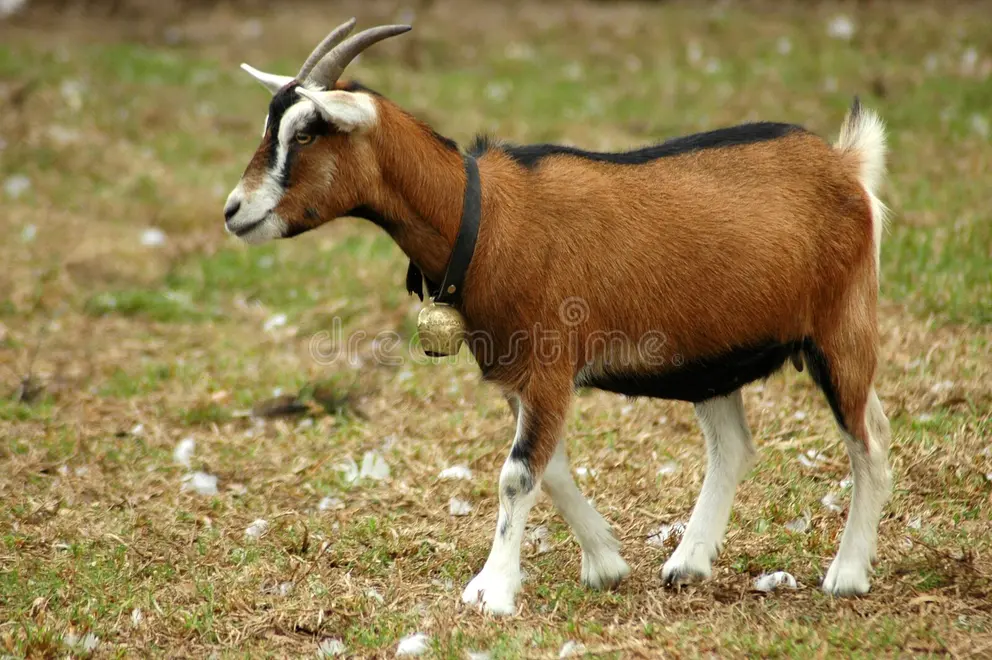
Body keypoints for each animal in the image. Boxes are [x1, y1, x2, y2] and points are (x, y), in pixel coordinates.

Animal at [224, 19, 892, 616]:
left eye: (307, 133)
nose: (234, 210)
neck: (482, 216)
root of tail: (845, 163)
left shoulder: (548, 364)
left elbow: (518, 475)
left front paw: (491, 592)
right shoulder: (519, 375)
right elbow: (553, 470)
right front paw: (607, 564)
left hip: (842, 328)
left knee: (869, 441)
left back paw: (847, 574)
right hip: (711, 354)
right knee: (733, 446)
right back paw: (688, 562)